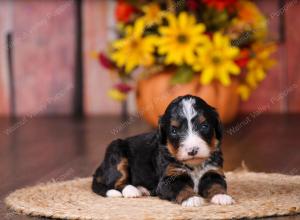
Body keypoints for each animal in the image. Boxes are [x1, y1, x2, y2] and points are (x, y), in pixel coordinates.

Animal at [91, 94, 234, 206]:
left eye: (204, 126)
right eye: (174, 131)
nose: (192, 150)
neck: (194, 165)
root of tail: (100, 168)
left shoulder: (213, 172)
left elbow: (217, 184)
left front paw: (222, 196)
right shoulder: (168, 179)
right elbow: (181, 187)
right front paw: (191, 199)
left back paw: (142, 189)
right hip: (116, 152)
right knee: (116, 183)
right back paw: (132, 191)